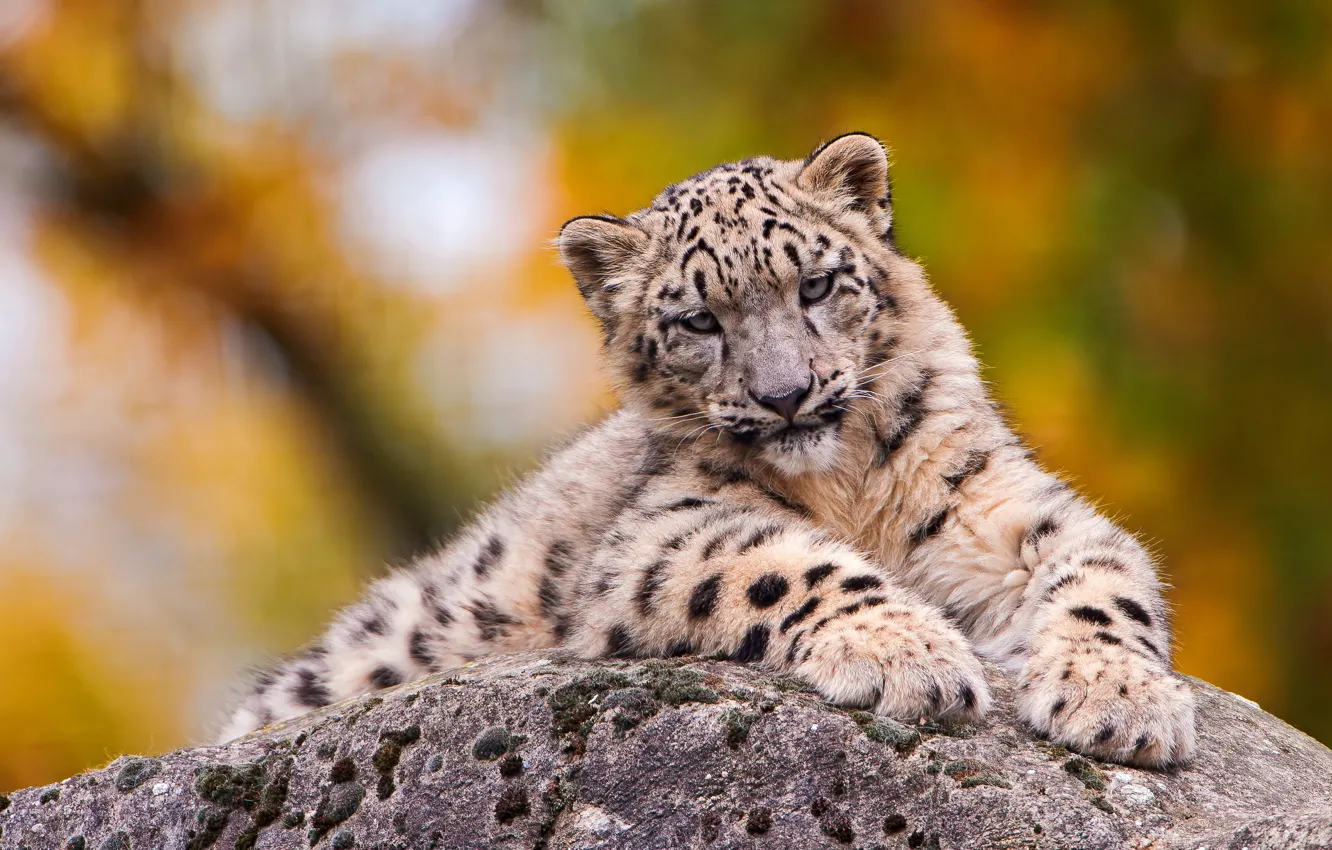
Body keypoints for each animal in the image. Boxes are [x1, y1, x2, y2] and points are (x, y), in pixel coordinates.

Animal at [219, 133, 1196, 768]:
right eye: (697, 321)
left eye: (817, 284)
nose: (786, 393)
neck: (848, 484)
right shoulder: (661, 536)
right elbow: (792, 563)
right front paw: (908, 657)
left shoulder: (1003, 505)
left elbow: (1104, 578)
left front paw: (1122, 702)